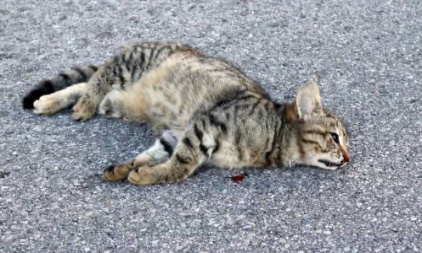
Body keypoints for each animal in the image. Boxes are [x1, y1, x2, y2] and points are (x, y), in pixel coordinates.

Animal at [22, 42, 350, 186]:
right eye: (334, 137)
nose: (347, 158)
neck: (274, 137)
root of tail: (178, 44)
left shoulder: (176, 135)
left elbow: (149, 156)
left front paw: (129, 168)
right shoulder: (206, 126)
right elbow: (180, 166)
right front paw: (151, 176)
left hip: (118, 99)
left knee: (85, 85)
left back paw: (51, 101)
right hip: (130, 64)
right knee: (99, 77)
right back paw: (80, 104)